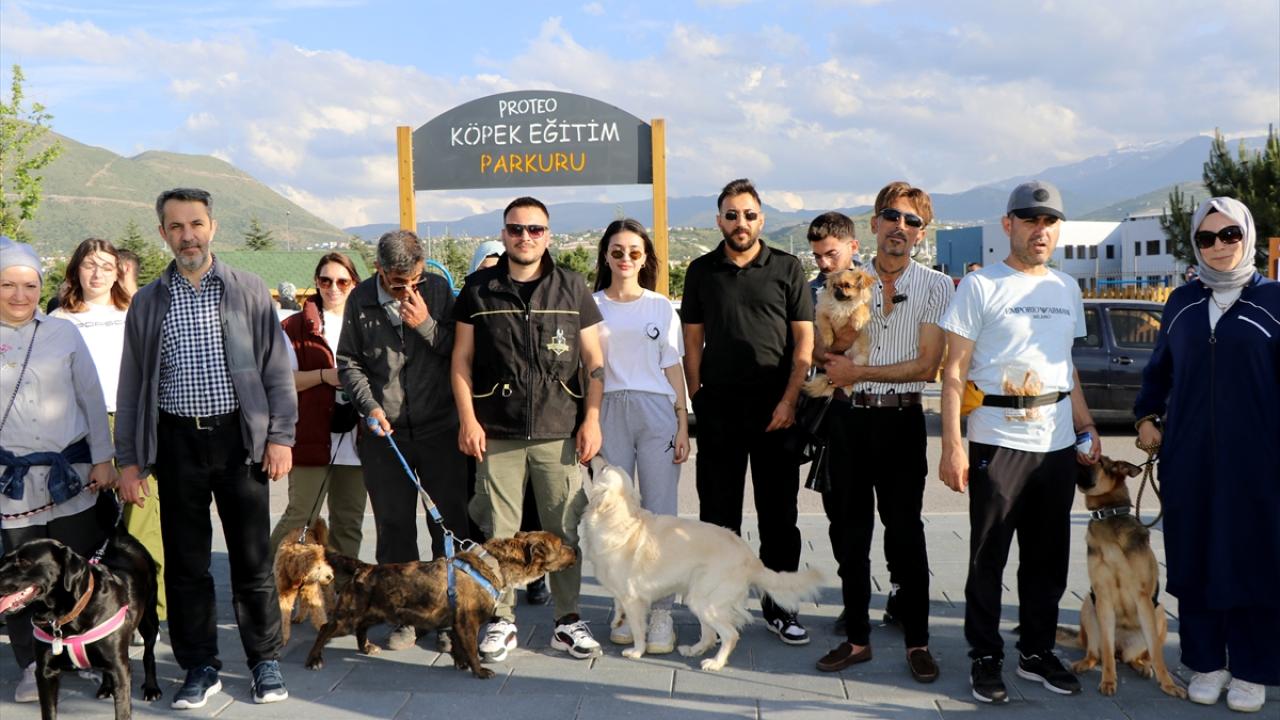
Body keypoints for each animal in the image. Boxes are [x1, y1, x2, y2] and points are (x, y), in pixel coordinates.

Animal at [0, 505, 162, 719]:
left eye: (25, 562)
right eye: (5, 558)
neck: (65, 615)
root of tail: (118, 534)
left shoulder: (120, 670)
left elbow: (122, 710)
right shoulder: (45, 672)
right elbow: (48, 711)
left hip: (149, 619)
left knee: (149, 655)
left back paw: (152, 688)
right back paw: (106, 687)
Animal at [304, 531, 576, 678]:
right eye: (560, 545)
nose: (576, 550)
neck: (493, 564)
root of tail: (364, 567)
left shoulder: (456, 622)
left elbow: (458, 647)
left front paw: (461, 665)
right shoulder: (468, 623)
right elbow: (471, 649)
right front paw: (478, 671)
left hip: (373, 612)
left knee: (362, 628)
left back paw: (366, 647)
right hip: (347, 617)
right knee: (325, 628)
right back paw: (314, 659)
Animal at [579, 456, 822, 671]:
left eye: (604, 468)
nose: (596, 453)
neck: (616, 518)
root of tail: (751, 557)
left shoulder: (634, 599)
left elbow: (639, 629)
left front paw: (637, 651)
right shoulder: (622, 592)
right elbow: (618, 605)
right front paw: (617, 622)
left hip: (705, 600)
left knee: (730, 634)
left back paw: (715, 663)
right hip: (697, 599)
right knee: (709, 635)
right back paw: (694, 650)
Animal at [803, 268, 875, 398]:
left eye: (847, 285)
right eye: (834, 286)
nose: (838, 290)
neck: (842, 305)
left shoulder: (863, 308)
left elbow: (860, 308)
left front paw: (857, 321)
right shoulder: (821, 313)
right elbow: (825, 326)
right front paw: (828, 339)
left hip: (858, 361)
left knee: (849, 378)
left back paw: (848, 389)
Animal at [1060, 456, 1185, 698]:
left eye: (1097, 461)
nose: (1074, 453)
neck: (1108, 514)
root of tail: (1122, 647)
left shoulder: (1142, 598)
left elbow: (1158, 655)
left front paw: (1168, 684)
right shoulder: (1103, 598)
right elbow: (1107, 653)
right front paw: (1109, 680)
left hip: (1158, 613)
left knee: (1140, 656)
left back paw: (1143, 666)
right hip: (1089, 606)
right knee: (1098, 654)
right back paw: (1083, 663)